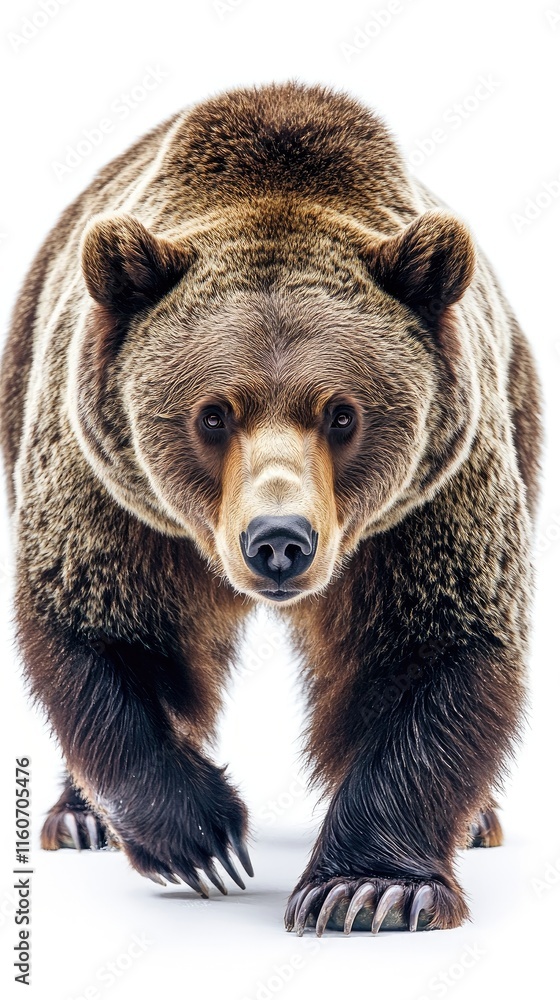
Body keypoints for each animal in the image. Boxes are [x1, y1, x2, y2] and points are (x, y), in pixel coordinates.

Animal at [0, 81, 541, 935]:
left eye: (343, 413)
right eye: (213, 414)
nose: (278, 539)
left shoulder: (427, 504)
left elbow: (432, 648)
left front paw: (368, 890)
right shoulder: (115, 494)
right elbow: (104, 634)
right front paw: (203, 840)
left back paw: (478, 817)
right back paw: (81, 817)